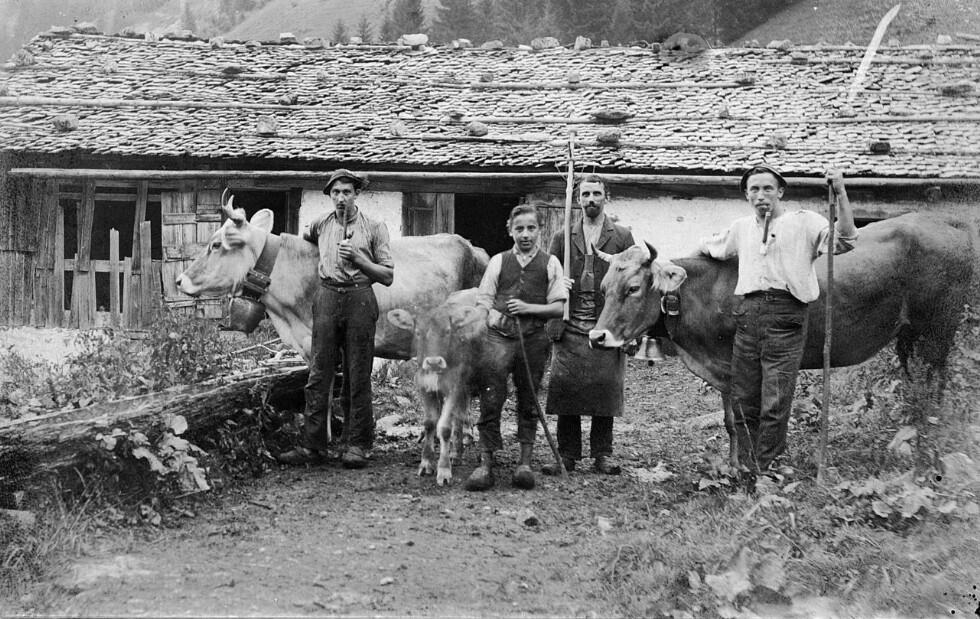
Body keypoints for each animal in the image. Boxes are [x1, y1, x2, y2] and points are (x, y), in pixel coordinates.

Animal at [386, 288, 487, 485]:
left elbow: (445, 427)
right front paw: (426, 463)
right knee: (460, 416)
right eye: (418, 332)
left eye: (447, 331)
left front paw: (444, 469)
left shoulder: (454, 386)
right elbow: (430, 423)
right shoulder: (424, 386)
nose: (433, 362)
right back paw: (456, 452)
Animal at [588, 212, 976, 466]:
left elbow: (748, 419)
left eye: (633, 288)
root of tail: (948, 226)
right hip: (908, 336)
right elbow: (730, 422)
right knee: (916, 387)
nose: (596, 336)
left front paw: (746, 467)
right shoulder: (723, 368)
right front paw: (732, 465)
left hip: (938, 333)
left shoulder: (738, 361)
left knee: (935, 388)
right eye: (605, 288)